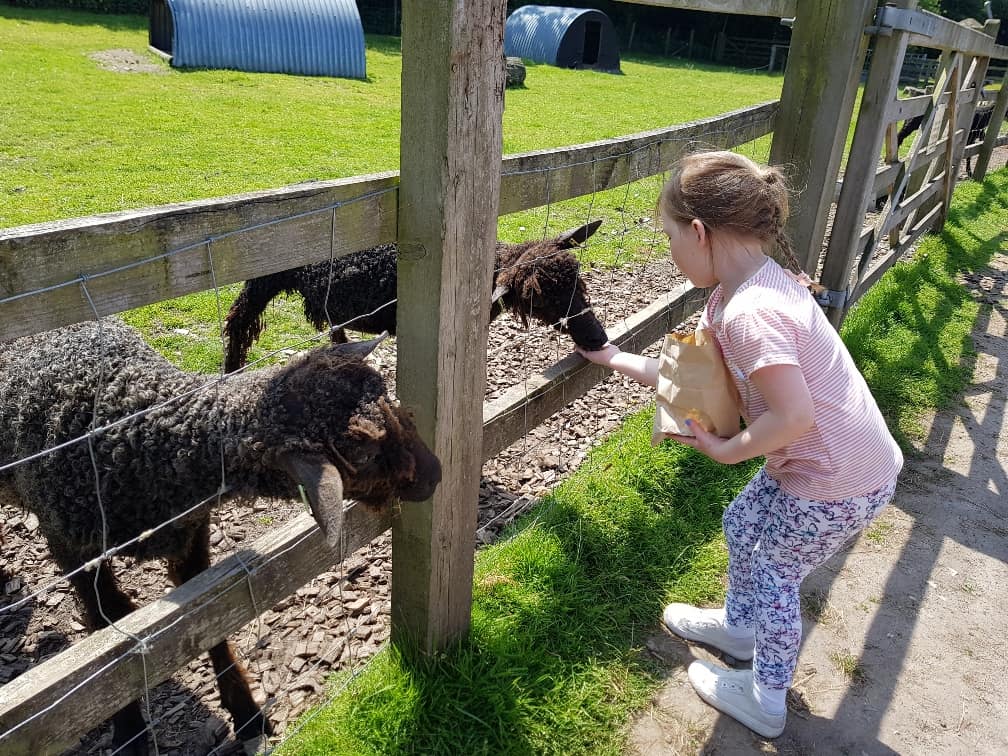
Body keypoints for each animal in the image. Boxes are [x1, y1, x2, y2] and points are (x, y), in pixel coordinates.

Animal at [224, 220, 608, 374]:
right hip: (261, 280)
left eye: (578, 279)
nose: (598, 338)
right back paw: (231, 370)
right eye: (539, 301)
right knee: (238, 321)